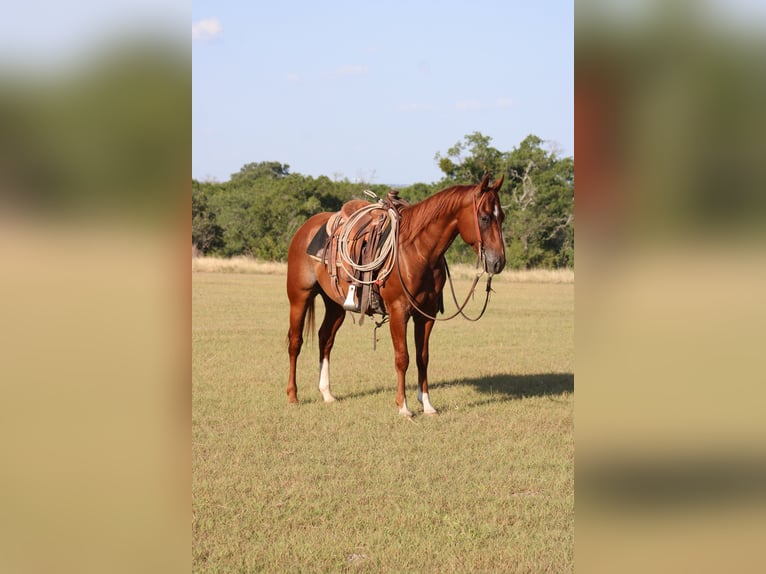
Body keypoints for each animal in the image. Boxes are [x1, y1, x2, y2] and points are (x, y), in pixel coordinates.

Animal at [285, 173, 506, 416]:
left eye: (502, 217)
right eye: (484, 217)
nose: (498, 262)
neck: (417, 251)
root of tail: (305, 228)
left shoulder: (426, 314)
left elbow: (422, 357)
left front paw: (427, 404)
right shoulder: (399, 312)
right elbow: (403, 358)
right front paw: (403, 407)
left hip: (335, 304)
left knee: (325, 339)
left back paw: (326, 393)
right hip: (299, 297)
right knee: (295, 342)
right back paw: (293, 395)